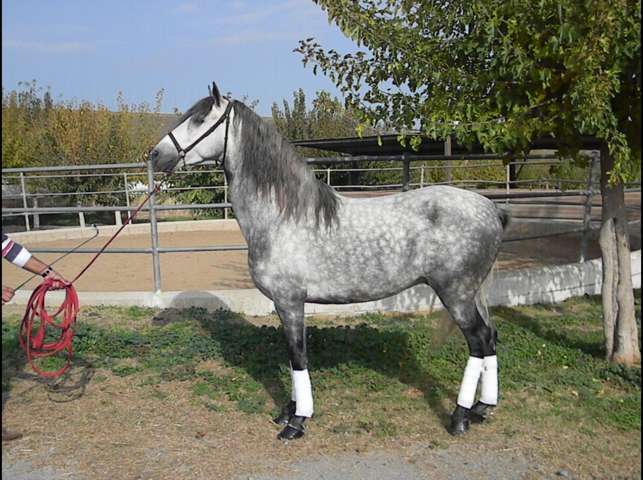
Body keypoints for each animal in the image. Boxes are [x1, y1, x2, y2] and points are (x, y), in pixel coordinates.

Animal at [149, 82, 509, 440]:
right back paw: (483, 408)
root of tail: (492, 210)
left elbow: (297, 356)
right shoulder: (286, 304)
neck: (283, 216)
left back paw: (460, 417)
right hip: (471, 293)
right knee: (490, 337)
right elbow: (291, 355)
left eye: (199, 119)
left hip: (456, 293)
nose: (155, 155)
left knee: (478, 341)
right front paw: (288, 412)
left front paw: (297, 422)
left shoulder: (289, 301)